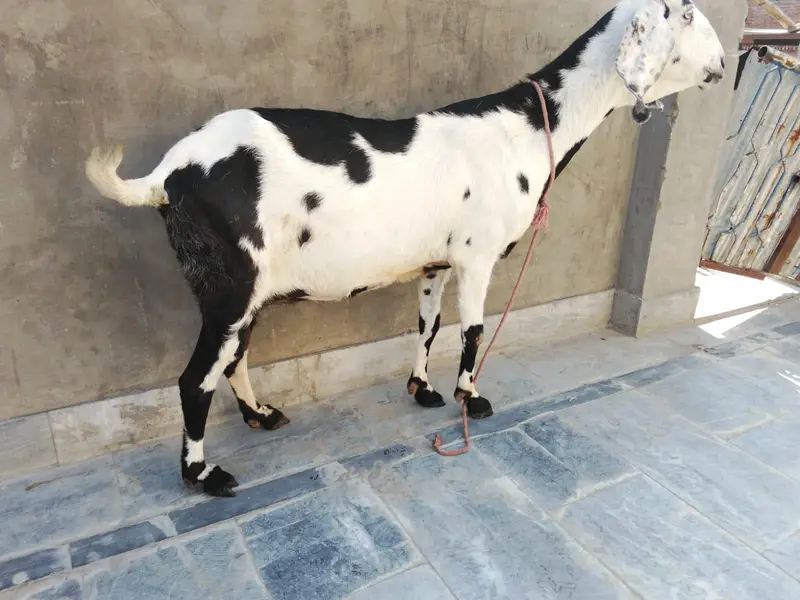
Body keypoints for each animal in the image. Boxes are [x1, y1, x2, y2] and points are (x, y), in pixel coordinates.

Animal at [85, 0, 726, 497]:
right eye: (688, 13)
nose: (723, 63)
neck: (525, 127)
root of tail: (167, 176)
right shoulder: (477, 255)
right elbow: (474, 330)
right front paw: (472, 397)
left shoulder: (436, 262)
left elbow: (429, 325)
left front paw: (422, 388)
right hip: (230, 282)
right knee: (195, 379)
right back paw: (203, 474)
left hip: (247, 289)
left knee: (235, 356)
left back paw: (260, 416)